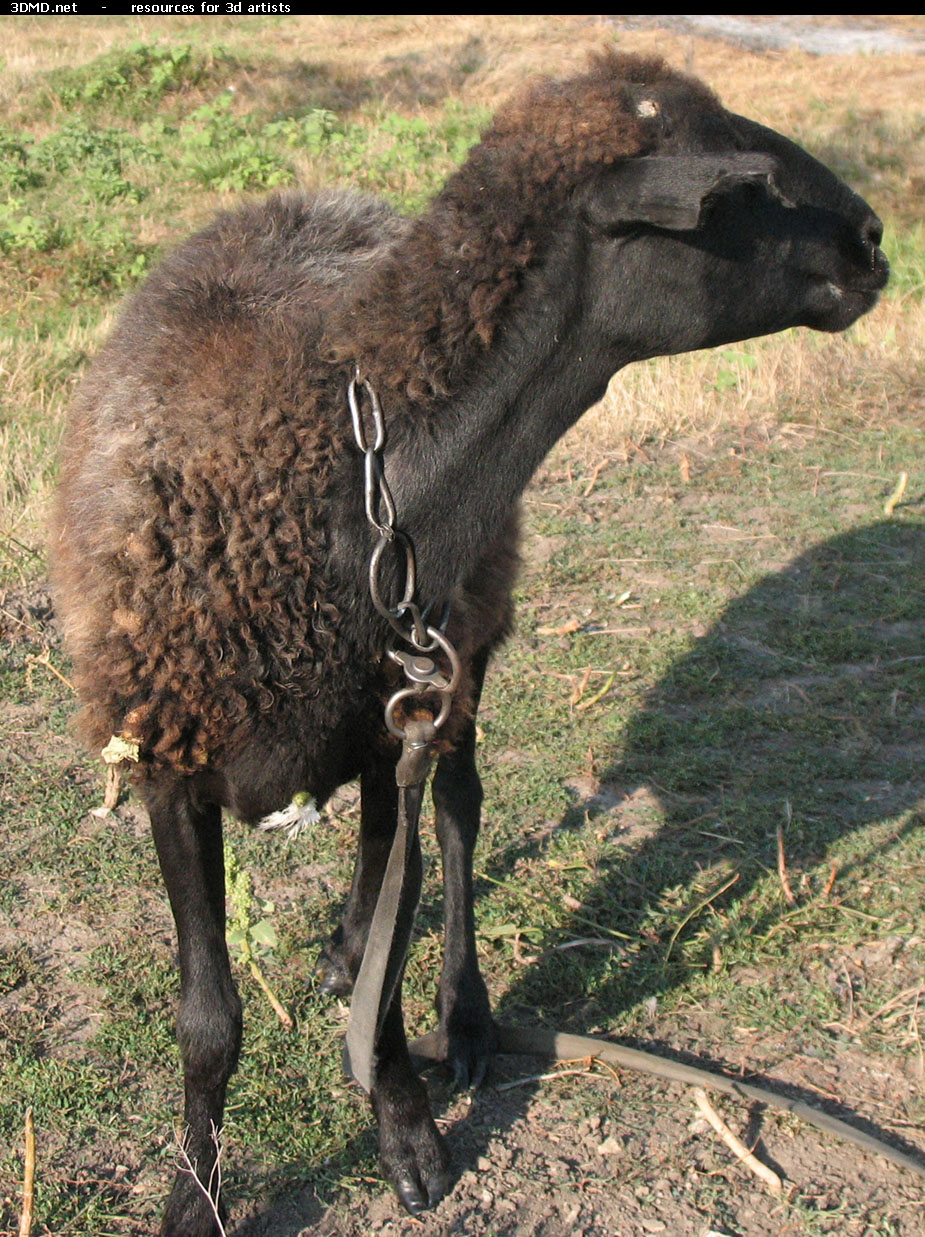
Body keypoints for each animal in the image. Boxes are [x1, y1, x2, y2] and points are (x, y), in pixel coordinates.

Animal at [52, 50, 890, 1237]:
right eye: (745, 189)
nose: (872, 238)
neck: (340, 470)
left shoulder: (391, 718)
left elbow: (397, 941)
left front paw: (405, 1125)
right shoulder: (171, 754)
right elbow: (207, 1018)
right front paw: (194, 1196)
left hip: (462, 652)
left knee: (452, 814)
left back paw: (467, 1015)